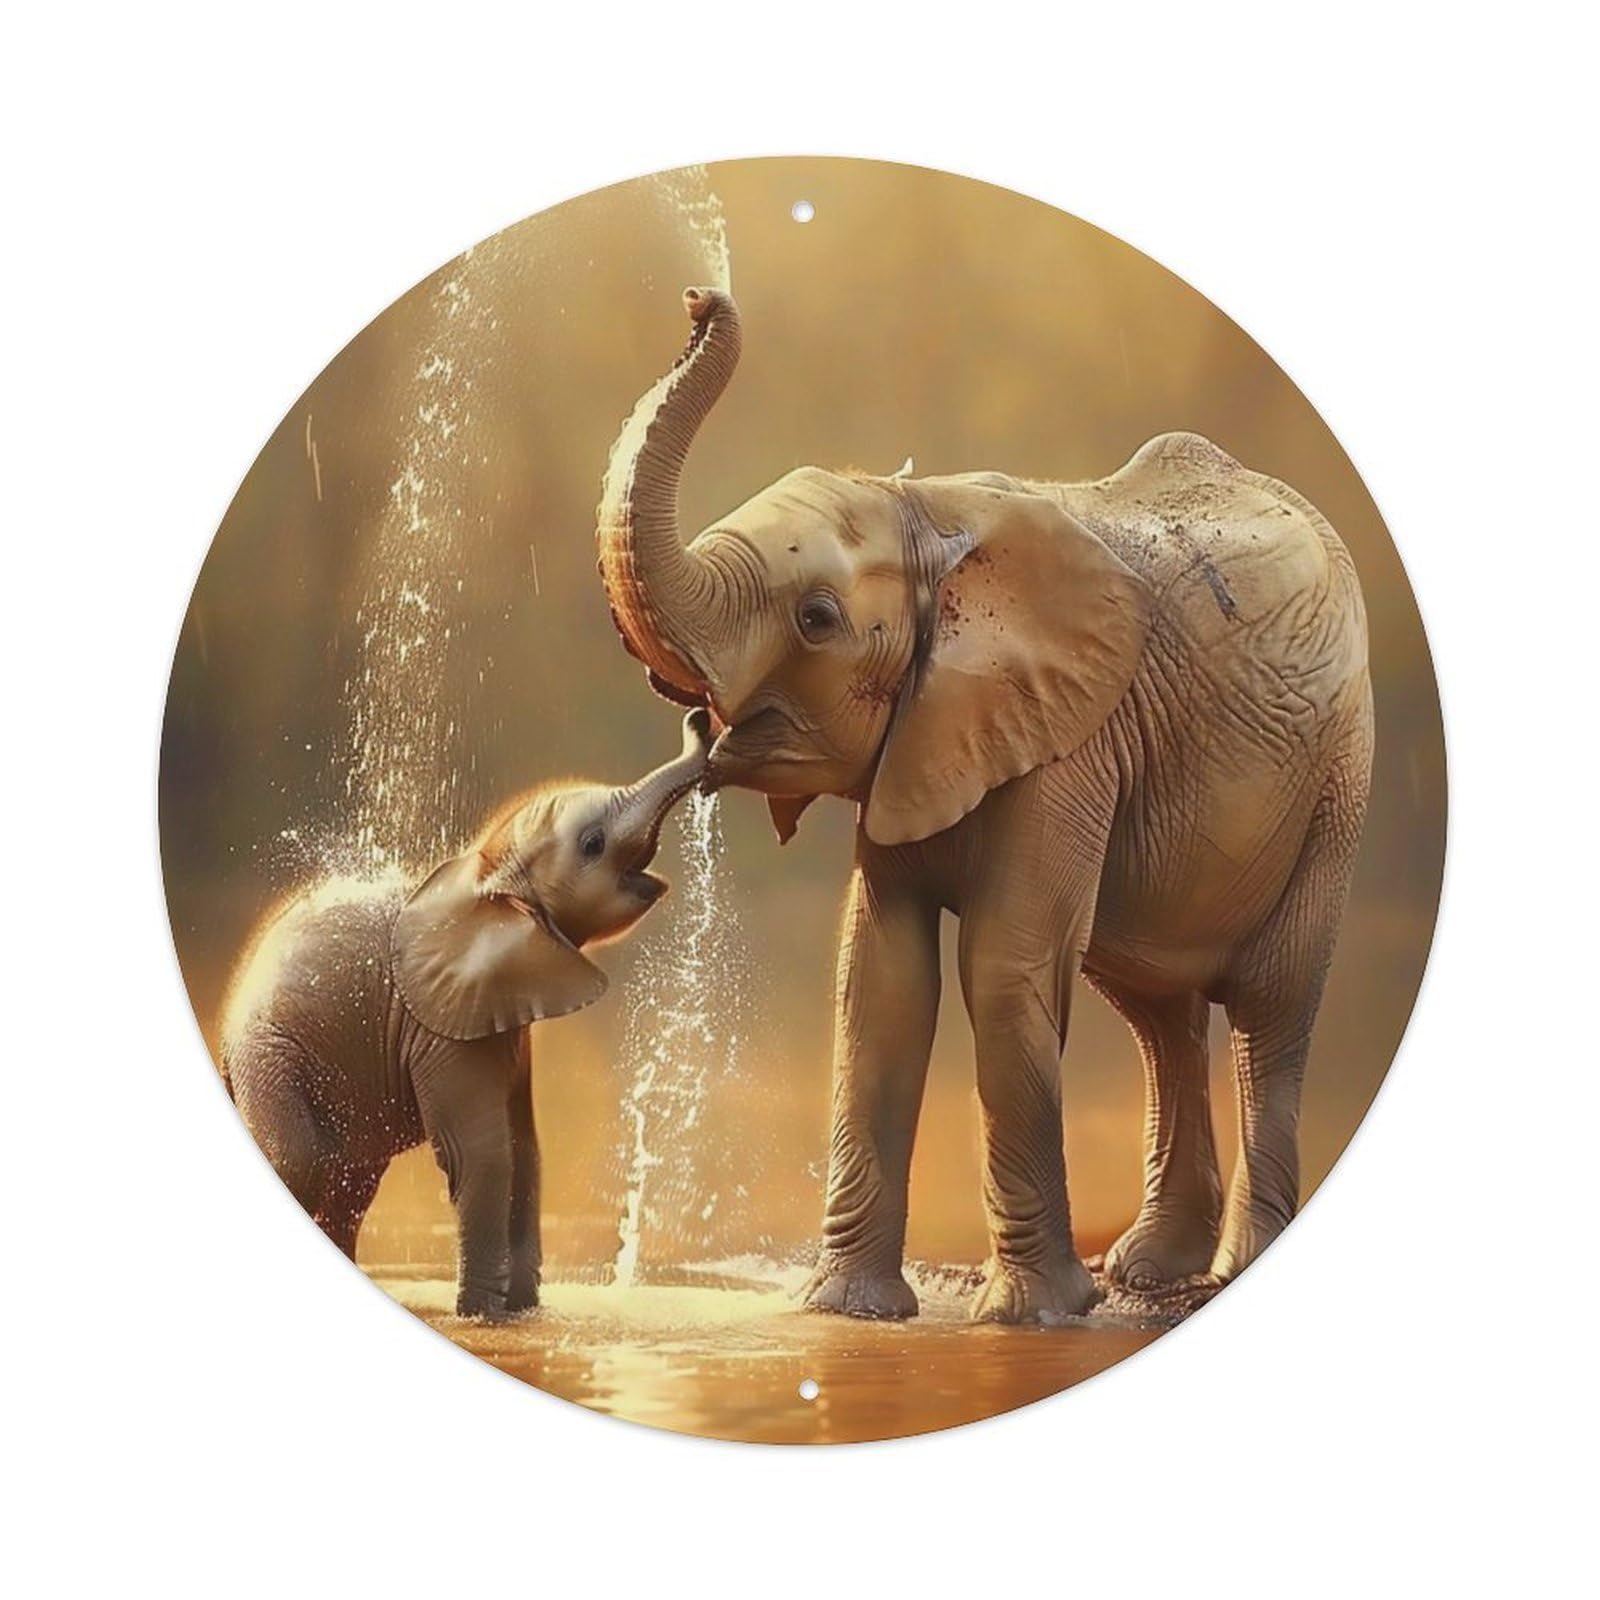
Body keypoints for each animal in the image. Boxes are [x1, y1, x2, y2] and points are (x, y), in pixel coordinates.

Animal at [221, 711, 711, 1318]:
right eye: (593, 843)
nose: (700, 718)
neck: (485, 870)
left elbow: (525, 1151)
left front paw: (523, 1313)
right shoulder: (440, 1029)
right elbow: (481, 1153)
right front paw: (483, 1314)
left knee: (350, 1185)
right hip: (269, 1057)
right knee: (301, 1161)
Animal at [593, 287, 1373, 1324]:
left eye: (817, 620)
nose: (698, 297)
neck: (927, 509)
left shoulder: (1070, 740)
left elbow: (1003, 968)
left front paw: (1031, 1316)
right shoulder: (922, 743)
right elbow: (879, 978)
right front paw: (844, 1310)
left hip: (1337, 782)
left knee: (1269, 1008)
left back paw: (1228, 1267)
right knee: (1156, 1011)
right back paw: (1148, 1273)